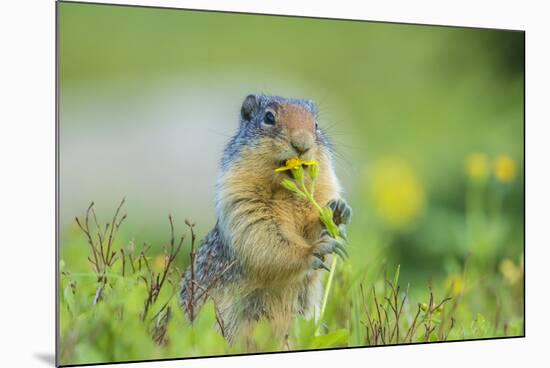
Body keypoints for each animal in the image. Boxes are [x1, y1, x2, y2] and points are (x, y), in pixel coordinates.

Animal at [181, 93, 354, 346]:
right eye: (269, 117)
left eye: (316, 125)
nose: (302, 144)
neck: (288, 189)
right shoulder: (241, 201)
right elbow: (264, 237)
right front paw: (314, 249)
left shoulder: (322, 188)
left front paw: (337, 212)